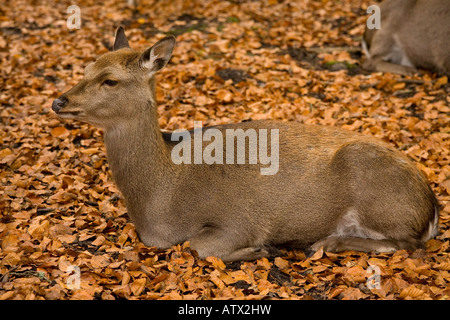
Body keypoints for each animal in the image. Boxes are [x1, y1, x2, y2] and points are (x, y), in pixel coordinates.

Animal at [51, 27, 440, 262]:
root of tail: (432, 206)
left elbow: (199, 246)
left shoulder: (239, 219)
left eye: (110, 80)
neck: (160, 201)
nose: (58, 101)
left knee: (409, 243)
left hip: (380, 194)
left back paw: (326, 242)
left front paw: (258, 249)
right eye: (85, 69)